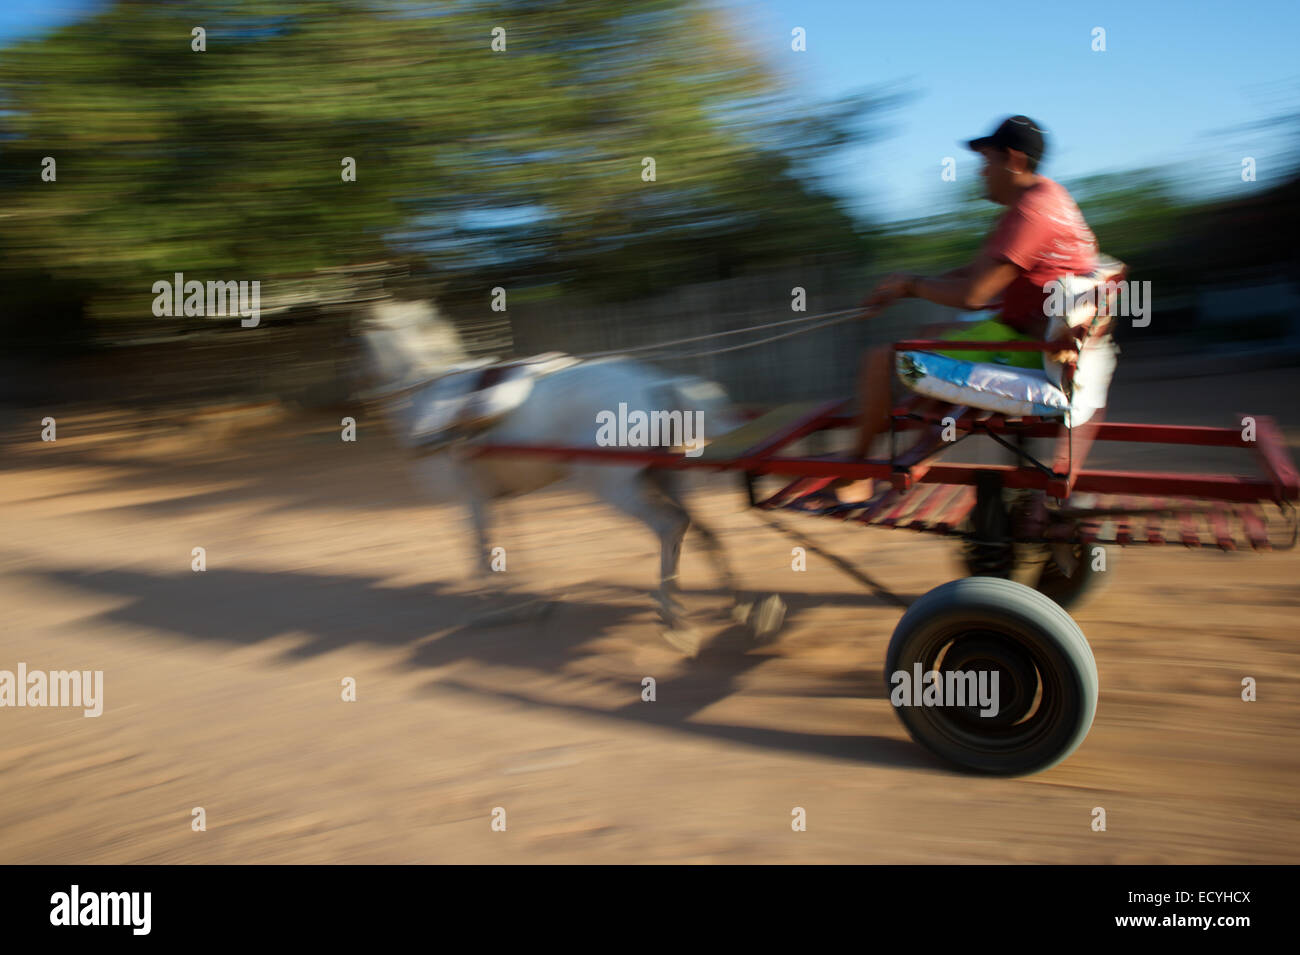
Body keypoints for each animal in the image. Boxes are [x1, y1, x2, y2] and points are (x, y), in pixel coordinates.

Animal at [356, 298, 780, 657]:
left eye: (363, 344)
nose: (361, 390)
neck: (433, 400)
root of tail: (654, 384)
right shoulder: (497, 495)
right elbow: (506, 545)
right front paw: (527, 603)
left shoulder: (468, 497)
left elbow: (478, 549)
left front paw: (491, 610)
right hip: (662, 476)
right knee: (701, 529)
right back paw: (742, 608)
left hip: (614, 486)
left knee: (670, 525)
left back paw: (673, 617)